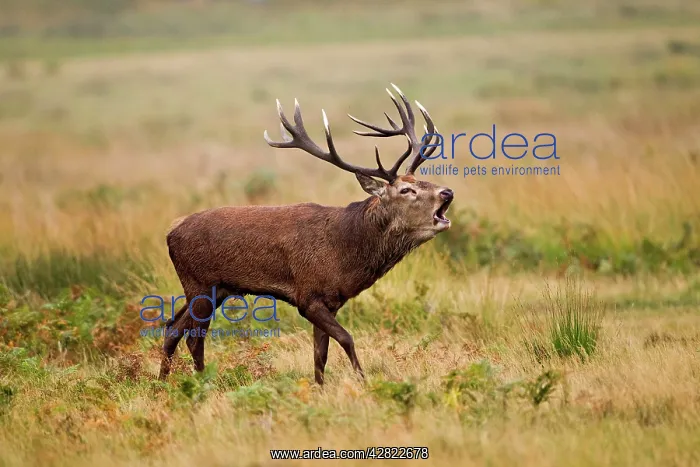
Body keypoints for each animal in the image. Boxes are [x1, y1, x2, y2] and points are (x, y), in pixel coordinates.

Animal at [159, 84, 454, 385]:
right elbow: (346, 339)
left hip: (212, 290)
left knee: (172, 328)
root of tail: (171, 233)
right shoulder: (308, 296)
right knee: (193, 337)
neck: (345, 251)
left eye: (421, 181)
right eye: (407, 190)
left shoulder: (331, 301)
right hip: (200, 284)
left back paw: (162, 383)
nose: (447, 192)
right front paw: (363, 381)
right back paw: (200, 382)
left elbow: (319, 354)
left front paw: (320, 388)